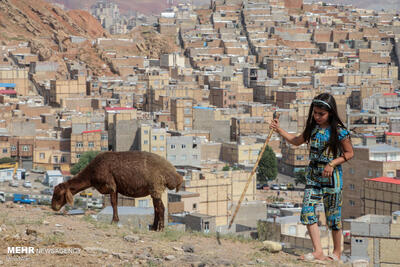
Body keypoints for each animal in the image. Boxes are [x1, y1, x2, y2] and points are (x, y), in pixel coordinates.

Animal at [51, 152, 184, 231]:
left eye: (58, 195)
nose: (53, 207)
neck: (91, 174)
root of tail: (174, 174)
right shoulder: (114, 187)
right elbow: (114, 203)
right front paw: (115, 220)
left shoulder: (111, 185)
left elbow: (114, 203)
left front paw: (114, 221)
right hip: (154, 190)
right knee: (157, 208)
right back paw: (154, 226)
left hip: (156, 186)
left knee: (161, 208)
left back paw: (160, 228)